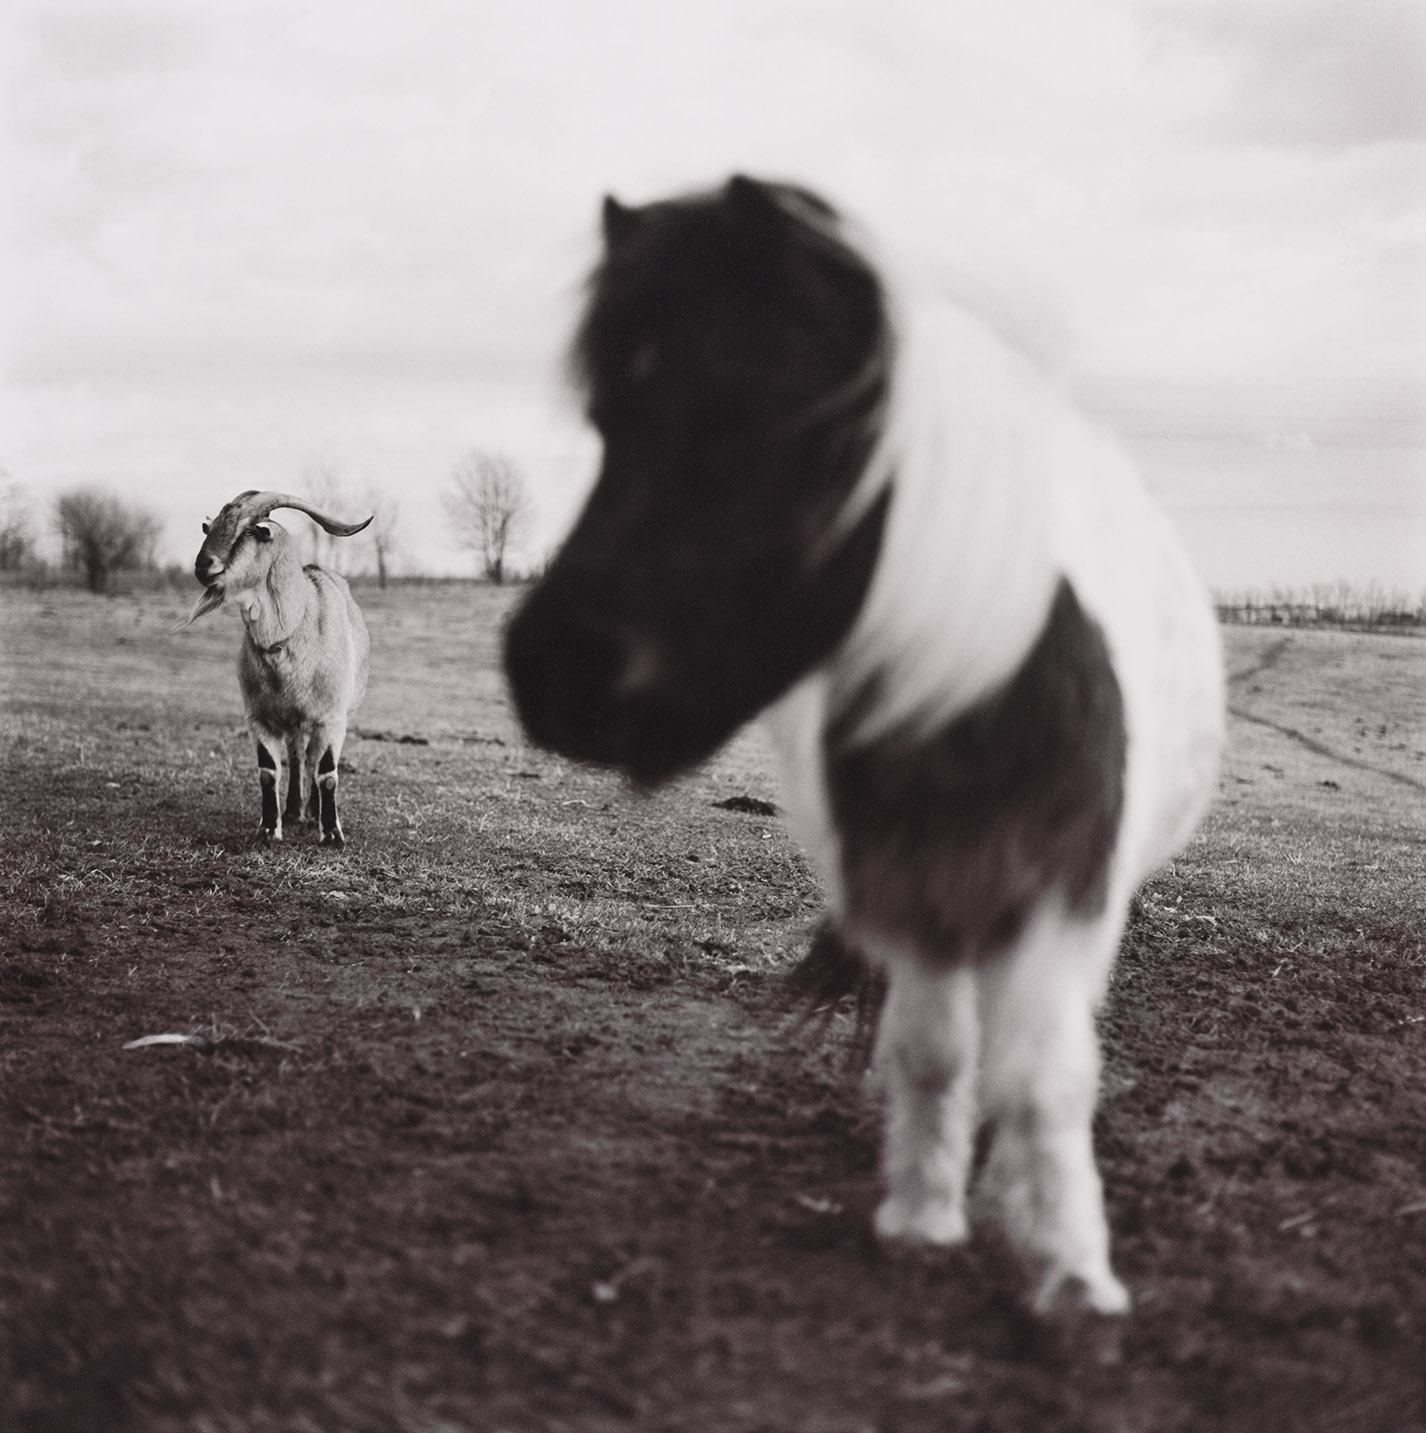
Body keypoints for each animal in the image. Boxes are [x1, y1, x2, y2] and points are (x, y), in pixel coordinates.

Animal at [177, 490, 373, 847]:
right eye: (208, 527)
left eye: (251, 530)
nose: (202, 565)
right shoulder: (259, 717)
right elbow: (268, 772)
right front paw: (269, 829)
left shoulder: (331, 718)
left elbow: (327, 774)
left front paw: (331, 834)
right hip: (292, 722)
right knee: (297, 757)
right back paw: (294, 810)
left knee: (311, 759)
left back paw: (310, 812)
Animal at [504, 176, 1224, 1314]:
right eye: (607, 421)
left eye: (762, 413)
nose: (554, 671)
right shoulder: (915, 900)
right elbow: (930, 1052)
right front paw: (923, 1216)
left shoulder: (1060, 906)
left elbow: (1046, 1080)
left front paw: (1071, 1271)